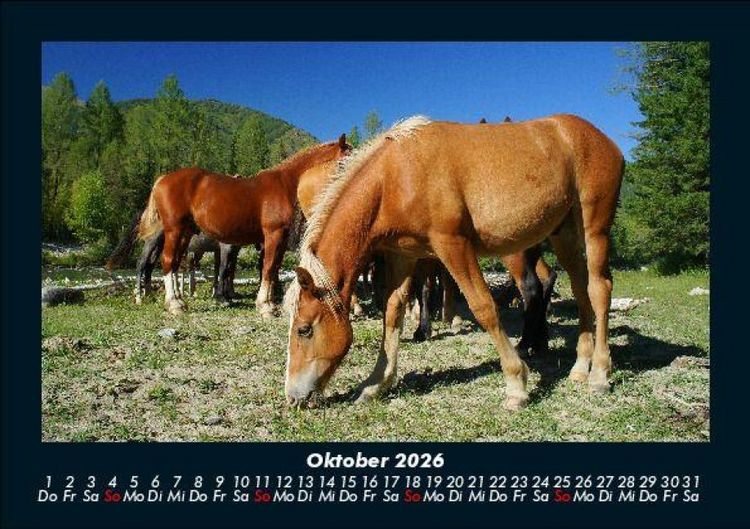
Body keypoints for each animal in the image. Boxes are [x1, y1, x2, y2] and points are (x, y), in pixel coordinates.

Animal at [137, 136, 351, 316]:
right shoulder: (273, 235)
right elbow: (268, 268)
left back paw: (179, 301)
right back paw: (173, 303)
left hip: (185, 233)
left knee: (173, 263)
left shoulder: (280, 240)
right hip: (174, 230)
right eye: (346, 158)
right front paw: (265, 306)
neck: (285, 183)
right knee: (166, 261)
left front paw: (270, 303)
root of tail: (162, 179)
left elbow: (274, 268)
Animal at [285, 115, 623, 411]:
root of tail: (601, 138)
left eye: (304, 330)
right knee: (581, 290)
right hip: (564, 235)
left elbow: (483, 307)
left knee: (599, 289)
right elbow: (392, 312)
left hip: (594, 229)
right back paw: (580, 367)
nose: (292, 396)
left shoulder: (453, 246)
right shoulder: (403, 256)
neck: (396, 175)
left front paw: (516, 385)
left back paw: (599, 373)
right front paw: (377, 382)